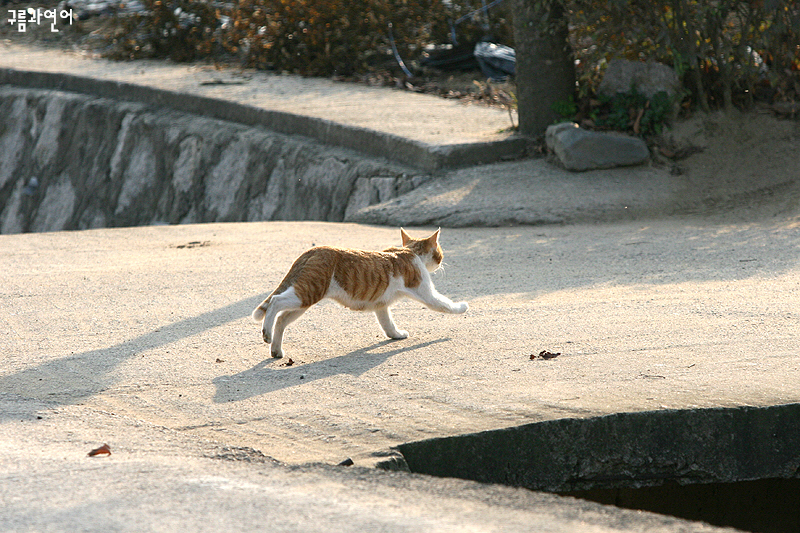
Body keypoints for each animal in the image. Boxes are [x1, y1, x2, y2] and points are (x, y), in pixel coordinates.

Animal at [252, 229, 468, 358]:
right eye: (440, 253)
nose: (441, 262)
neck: (410, 252)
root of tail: (313, 250)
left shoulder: (381, 305)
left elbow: (388, 324)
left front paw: (396, 335)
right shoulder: (426, 293)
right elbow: (445, 304)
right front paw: (462, 307)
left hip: (303, 301)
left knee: (281, 319)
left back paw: (276, 350)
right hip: (307, 293)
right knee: (275, 302)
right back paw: (266, 334)